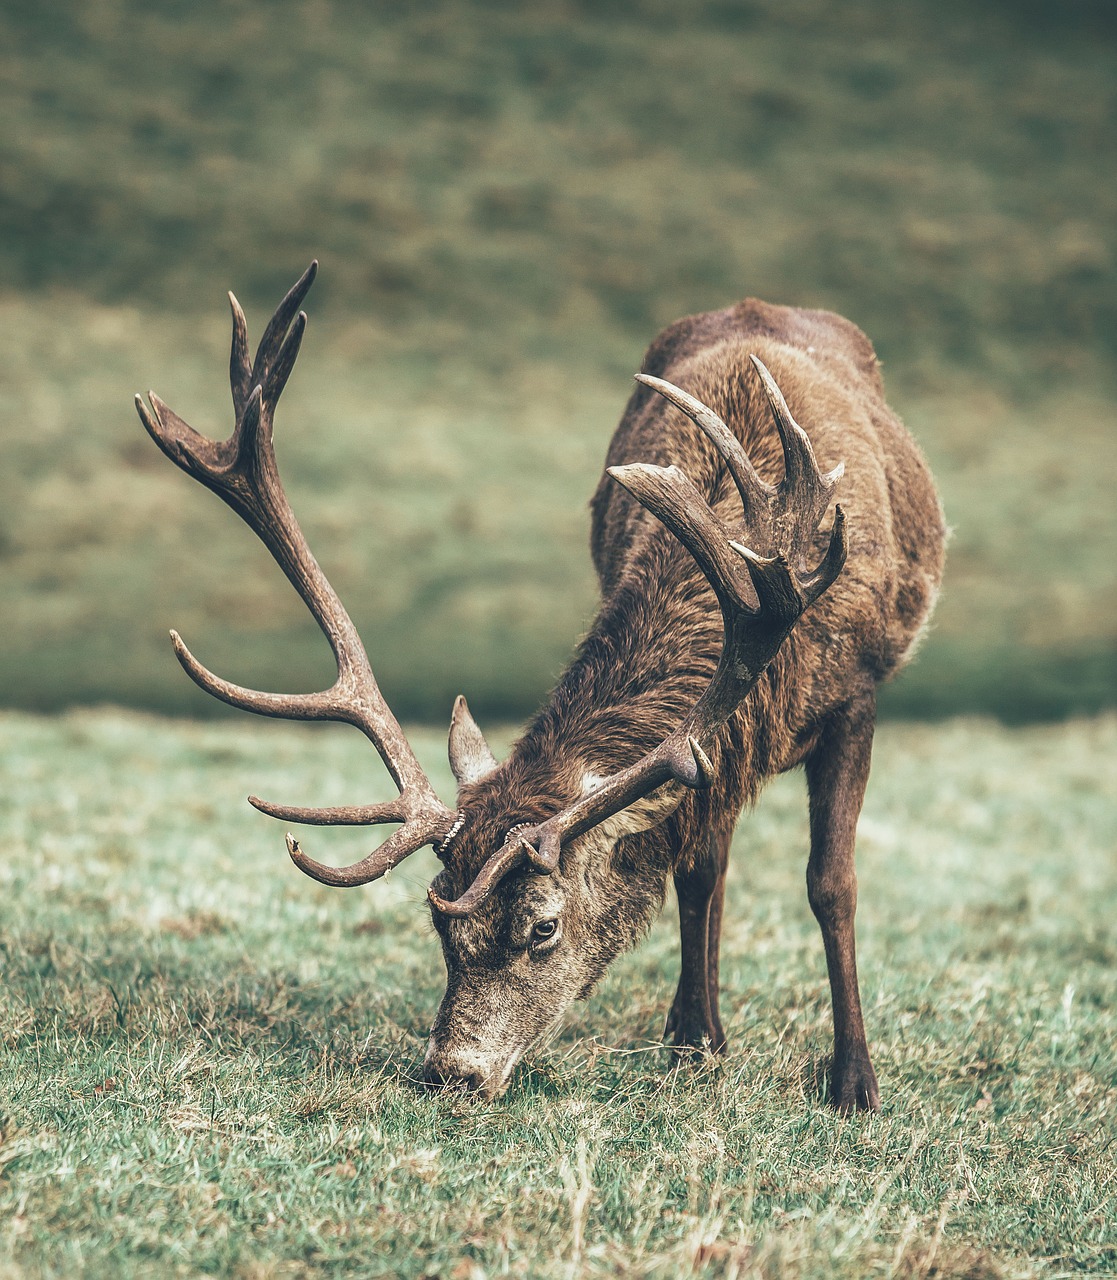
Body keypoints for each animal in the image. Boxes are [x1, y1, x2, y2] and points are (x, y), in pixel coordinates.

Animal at [137, 259, 941, 1111]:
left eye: (543, 927)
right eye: (440, 924)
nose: (451, 1071)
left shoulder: (857, 693)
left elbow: (830, 883)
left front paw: (853, 1081)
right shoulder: (716, 751)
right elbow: (696, 864)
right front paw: (694, 1041)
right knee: (704, 865)